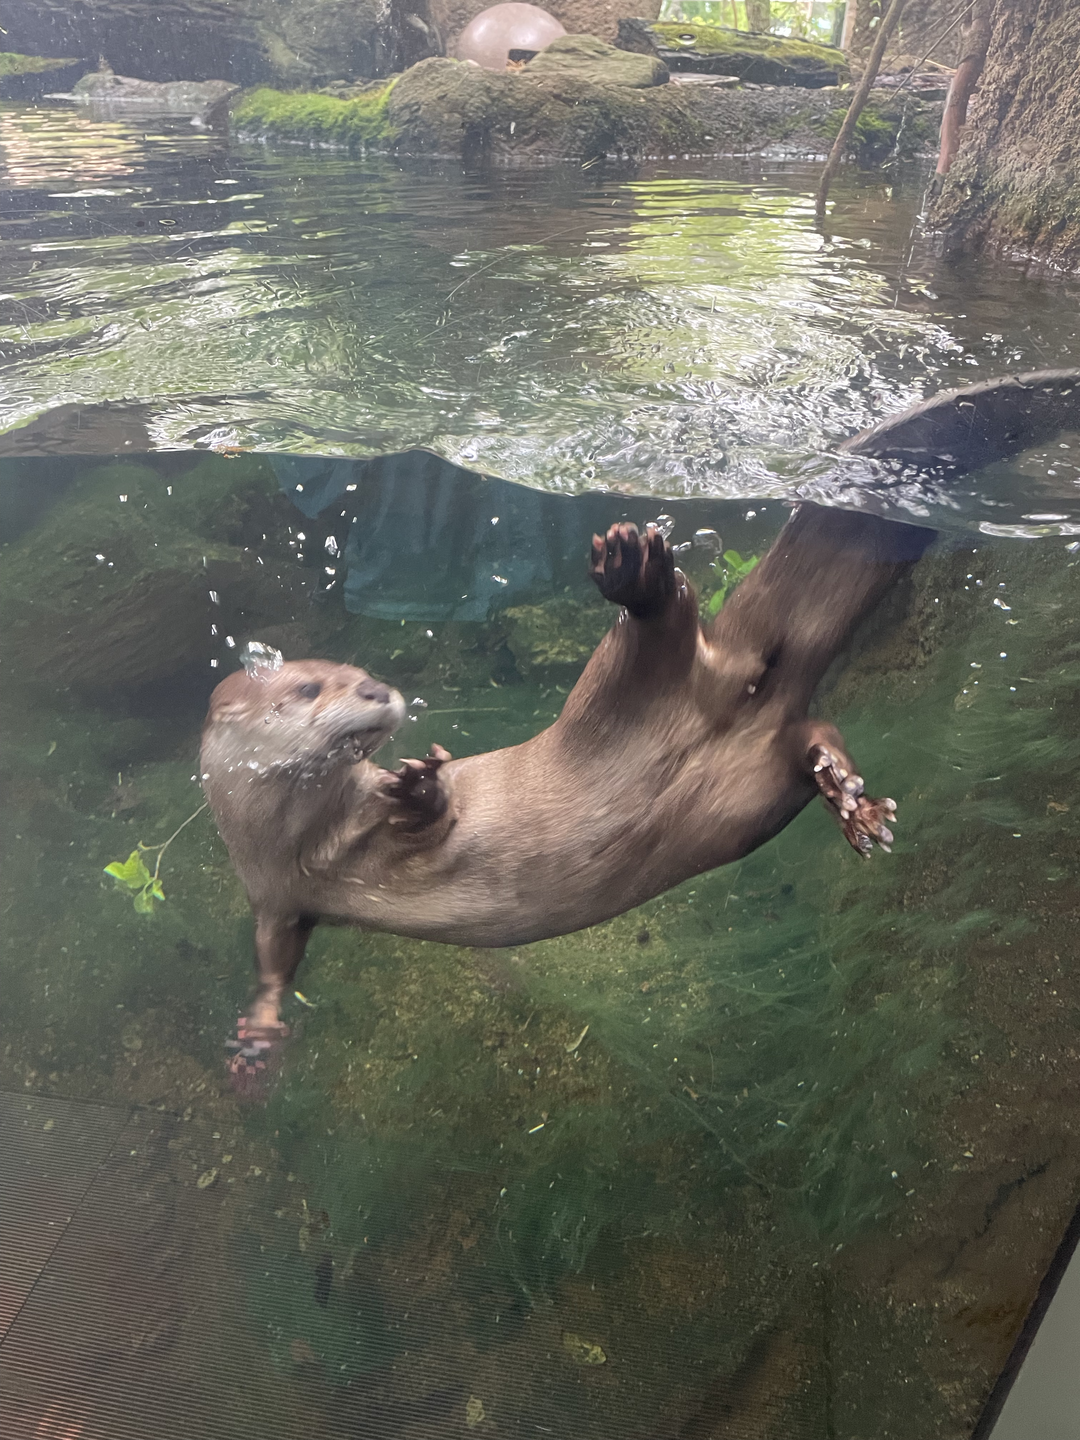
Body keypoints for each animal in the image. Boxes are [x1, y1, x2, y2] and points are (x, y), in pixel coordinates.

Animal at [201, 369, 1080, 1073]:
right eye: (311, 687)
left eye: (359, 678)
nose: (381, 692)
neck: (311, 843)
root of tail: (736, 661)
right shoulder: (276, 896)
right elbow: (274, 961)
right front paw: (256, 1037)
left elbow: (440, 813)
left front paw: (417, 783)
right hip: (750, 798)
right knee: (808, 737)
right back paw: (853, 801)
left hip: (620, 678)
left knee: (663, 625)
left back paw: (635, 566)